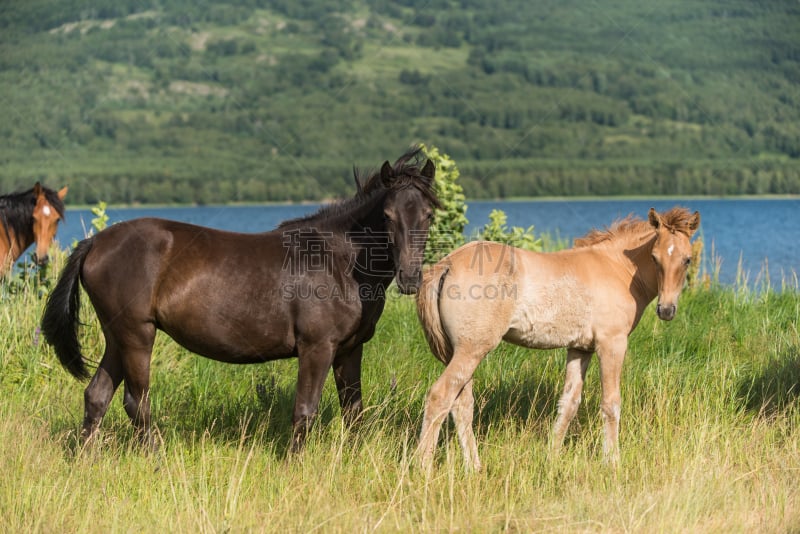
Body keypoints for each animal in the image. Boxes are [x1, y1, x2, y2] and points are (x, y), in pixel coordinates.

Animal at [42, 148, 444, 452]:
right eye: (387, 216)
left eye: (428, 214)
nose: (409, 278)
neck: (338, 261)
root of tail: (96, 242)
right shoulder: (317, 347)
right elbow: (305, 410)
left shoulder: (349, 349)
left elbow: (354, 410)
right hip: (137, 335)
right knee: (135, 402)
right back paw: (154, 458)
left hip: (117, 338)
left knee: (97, 396)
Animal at [418, 207, 700, 472]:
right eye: (654, 257)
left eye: (687, 259)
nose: (666, 310)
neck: (617, 268)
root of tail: (447, 264)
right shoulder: (612, 344)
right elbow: (611, 404)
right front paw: (612, 461)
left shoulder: (580, 348)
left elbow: (569, 403)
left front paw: (551, 457)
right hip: (472, 350)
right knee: (440, 397)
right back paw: (423, 467)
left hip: (459, 352)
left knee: (461, 405)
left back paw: (474, 467)